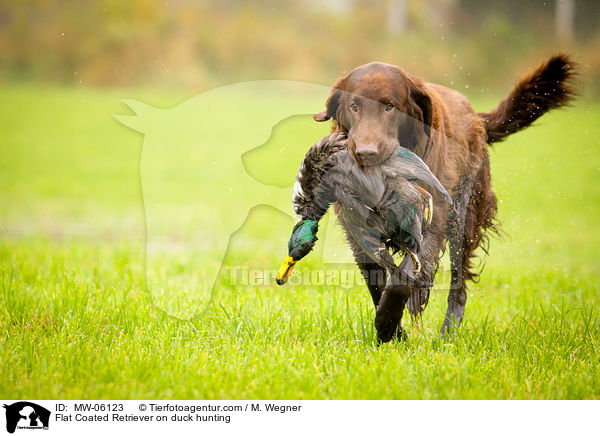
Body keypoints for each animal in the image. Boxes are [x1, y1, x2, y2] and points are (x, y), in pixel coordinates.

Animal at [314, 54, 576, 342]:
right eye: (354, 106)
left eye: (390, 107)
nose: (365, 152)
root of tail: (476, 117)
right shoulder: (359, 228)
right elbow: (377, 281)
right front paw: (395, 331)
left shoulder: (432, 220)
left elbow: (402, 278)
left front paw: (386, 324)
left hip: (465, 218)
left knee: (458, 282)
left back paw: (449, 331)